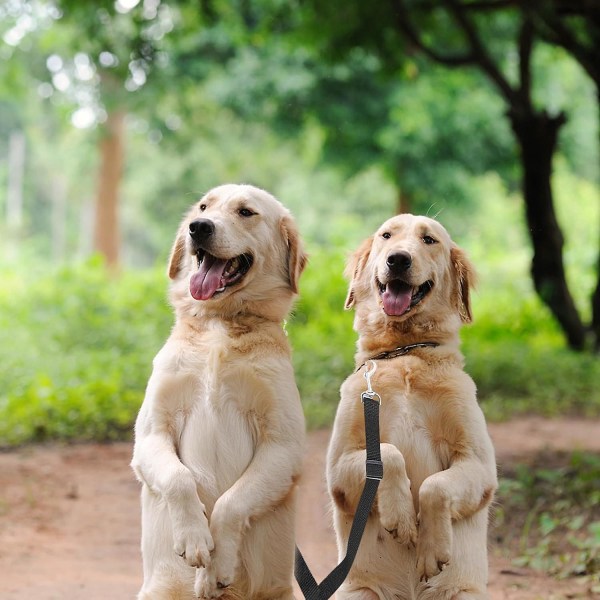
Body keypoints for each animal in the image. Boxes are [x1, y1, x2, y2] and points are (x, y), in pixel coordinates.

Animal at [133, 184, 308, 600]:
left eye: (246, 212)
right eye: (203, 207)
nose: (198, 227)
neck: (219, 325)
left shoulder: (283, 448)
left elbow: (231, 504)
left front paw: (218, 567)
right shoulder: (150, 435)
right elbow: (179, 479)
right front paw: (194, 539)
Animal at [328, 213, 496, 596]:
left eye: (429, 239)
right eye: (386, 236)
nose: (398, 259)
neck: (405, 352)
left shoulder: (479, 465)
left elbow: (435, 486)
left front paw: (431, 549)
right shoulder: (338, 468)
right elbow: (389, 454)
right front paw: (401, 517)